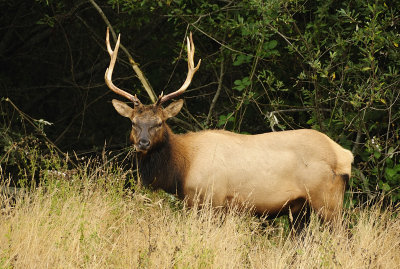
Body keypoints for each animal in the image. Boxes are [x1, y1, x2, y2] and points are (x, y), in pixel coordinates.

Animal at [104, 27, 354, 224]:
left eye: (159, 122)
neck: (182, 170)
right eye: (133, 122)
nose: (143, 143)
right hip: (301, 209)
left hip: (328, 199)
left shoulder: (212, 200)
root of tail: (344, 155)